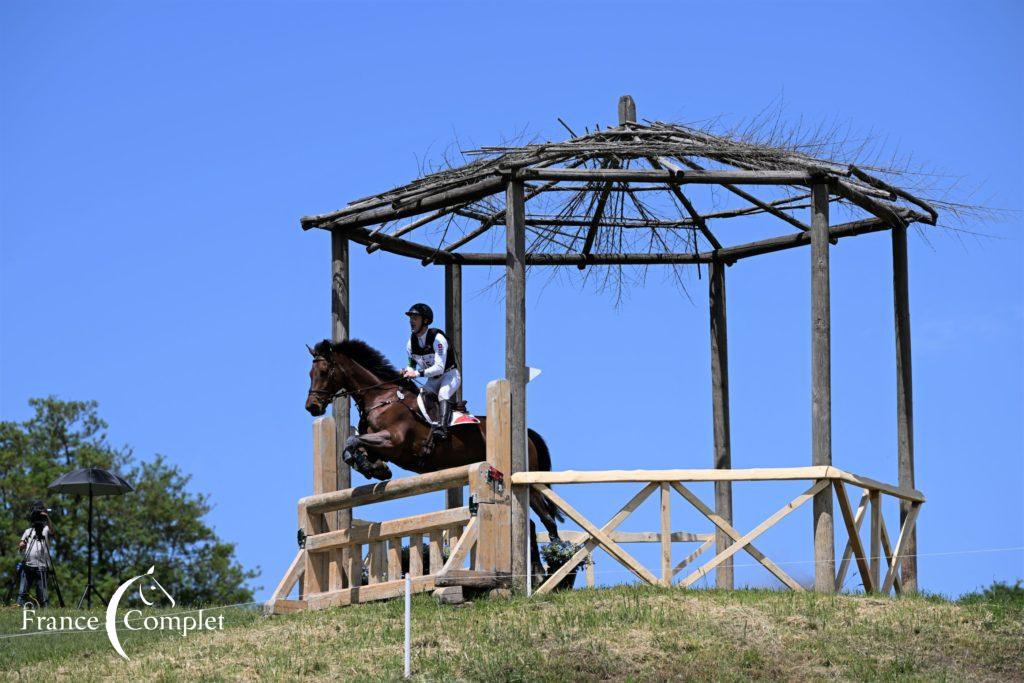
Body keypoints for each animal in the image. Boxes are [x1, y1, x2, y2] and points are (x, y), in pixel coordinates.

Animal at [303, 339, 565, 581]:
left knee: (545, 519)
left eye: (323, 372)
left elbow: (351, 440)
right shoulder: (380, 445)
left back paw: (551, 566)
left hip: (528, 484)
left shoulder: (394, 442)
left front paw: (373, 468)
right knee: (530, 523)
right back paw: (539, 571)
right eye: (310, 373)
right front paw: (375, 468)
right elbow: (351, 448)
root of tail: (525, 434)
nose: (312, 407)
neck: (381, 398)